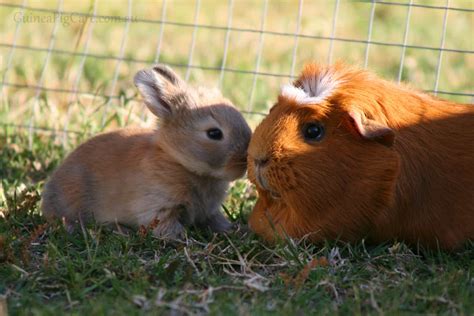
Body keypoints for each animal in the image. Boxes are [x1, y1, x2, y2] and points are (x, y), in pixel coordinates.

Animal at [42, 64, 252, 237]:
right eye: (214, 133)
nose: (245, 160)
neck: (178, 160)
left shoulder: (209, 211)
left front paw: (234, 230)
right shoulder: (159, 209)